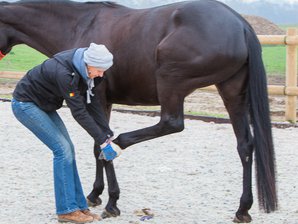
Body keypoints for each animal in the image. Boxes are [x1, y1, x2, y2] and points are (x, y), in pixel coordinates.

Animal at [1, 0, 278, 222]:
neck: (80, 25)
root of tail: (240, 25)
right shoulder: (103, 103)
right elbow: (97, 144)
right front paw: (95, 194)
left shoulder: (96, 99)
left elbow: (101, 142)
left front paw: (112, 201)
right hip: (232, 92)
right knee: (245, 145)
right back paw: (243, 209)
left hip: (170, 80)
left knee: (171, 123)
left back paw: (120, 144)